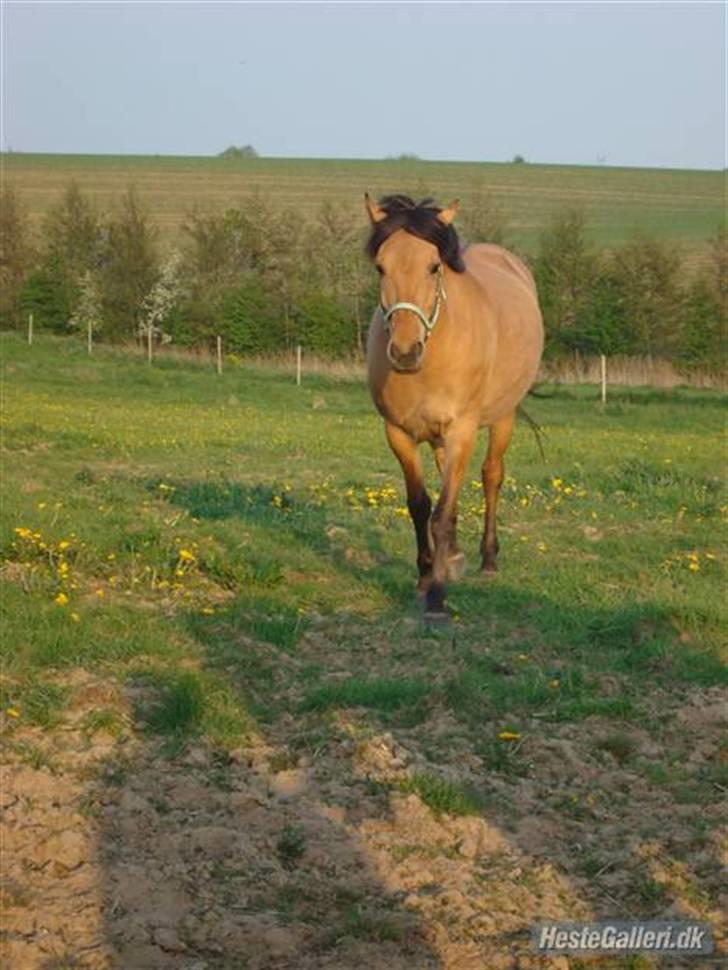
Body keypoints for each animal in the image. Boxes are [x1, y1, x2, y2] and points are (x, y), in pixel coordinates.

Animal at [366, 195, 544, 620]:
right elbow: (420, 505)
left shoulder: (462, 430)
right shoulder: (397, 433)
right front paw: (425, 576)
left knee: (491, 476)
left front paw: (437, 597)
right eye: (381, 267)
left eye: (434, 266)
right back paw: (455, 558)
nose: (405, 352)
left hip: (502, 418)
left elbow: (442, 514)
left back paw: (488, 559)